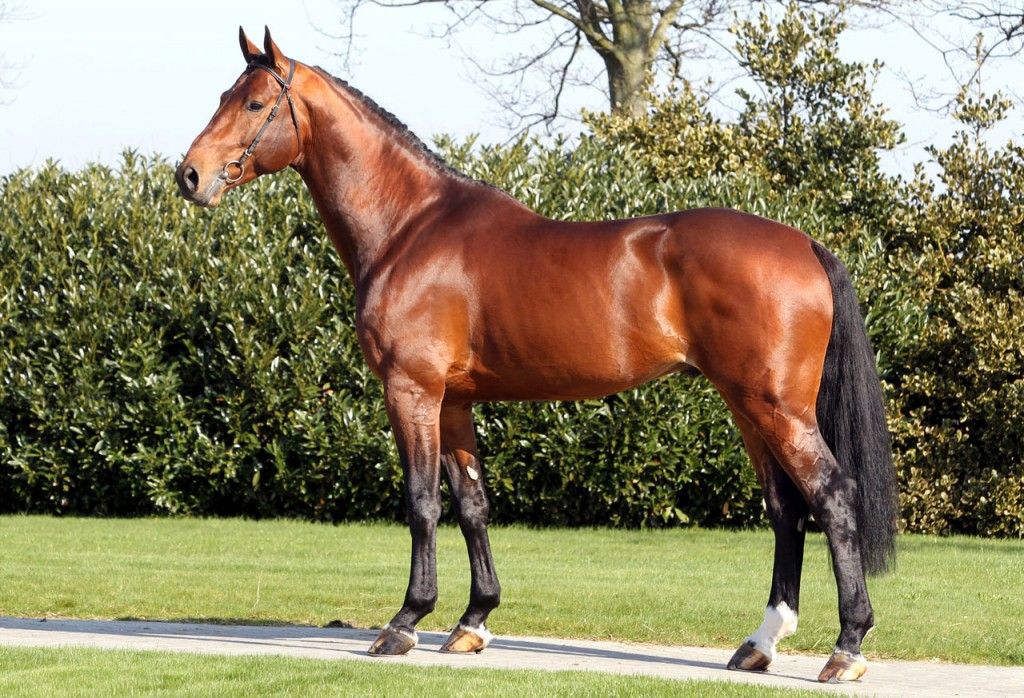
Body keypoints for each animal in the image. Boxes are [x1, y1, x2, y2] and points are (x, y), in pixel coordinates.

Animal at [176, 27, 898, 683]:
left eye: (254, 102)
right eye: (223, 96)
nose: (189, 175)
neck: (409, 227)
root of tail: (805, 245)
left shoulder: (412, 390)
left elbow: (421, 502)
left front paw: (405, 623)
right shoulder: (455, 401)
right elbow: (472, 504)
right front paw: (472, 623)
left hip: (776, 406)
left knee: (832, 497)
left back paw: (846, 648)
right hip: (747, 405)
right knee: (785, 509)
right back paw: (759, 644)